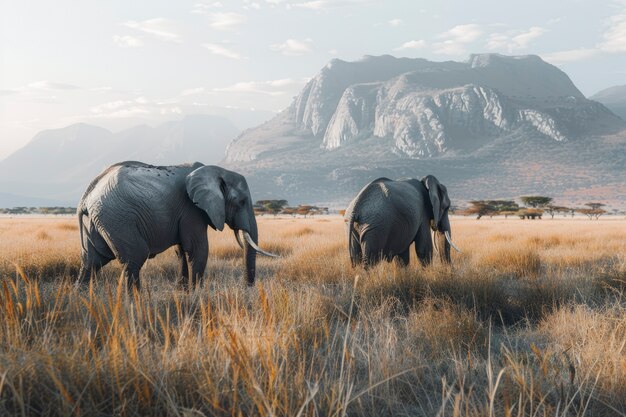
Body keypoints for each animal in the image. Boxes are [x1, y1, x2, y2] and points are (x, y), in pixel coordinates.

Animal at [76, 160, 276, 290]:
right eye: (241, 202)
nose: (248, 287)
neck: (215, 171)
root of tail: (85, 197)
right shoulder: (192, 209)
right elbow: (197, 249)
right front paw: (197, 294)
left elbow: (181, 250)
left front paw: (183, 291)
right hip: (118, 218)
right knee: (134, 258)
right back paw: (135, 302)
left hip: (98, 220)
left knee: (92, 261)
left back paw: (81, 296)